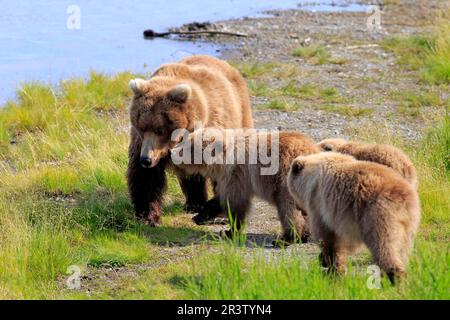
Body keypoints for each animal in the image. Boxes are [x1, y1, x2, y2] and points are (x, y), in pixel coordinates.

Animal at [126, 55, 253, 225]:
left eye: (159, 130)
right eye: (142, 127)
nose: (146, 159)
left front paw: (216, 212)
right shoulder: (142, 143)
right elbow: (146, 178)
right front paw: (148, 216)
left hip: (241, 114)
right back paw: (194, 203)